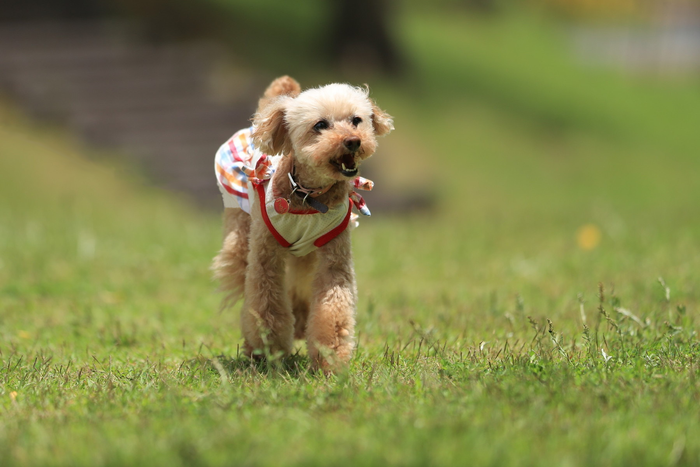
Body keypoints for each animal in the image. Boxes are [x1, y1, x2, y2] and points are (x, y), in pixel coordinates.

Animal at [211, 77, 394, 372]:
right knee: (239, 267)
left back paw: (298, 323)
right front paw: (267, 350)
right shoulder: (265, 254)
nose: (353, 141)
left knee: (299, 280)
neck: (309, 194)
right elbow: (265, 301)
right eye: (320, 125)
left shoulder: (334, 254)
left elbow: (333, 305)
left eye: (356, 120)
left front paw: (331, 356)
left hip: (306, 253)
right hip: (240, 229)